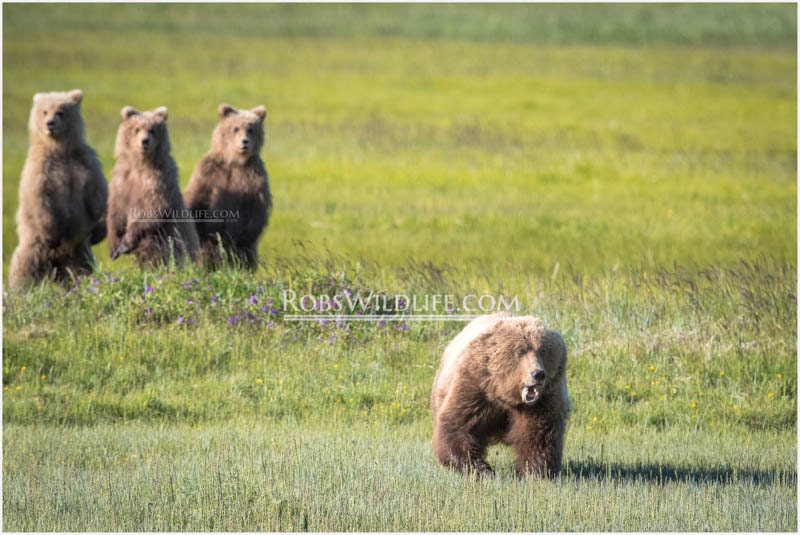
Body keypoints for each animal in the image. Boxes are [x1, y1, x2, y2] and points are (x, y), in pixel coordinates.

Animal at [8, 89, 108, 288]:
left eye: (61, 111)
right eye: (45, 111)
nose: (50, 123)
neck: (60, 150)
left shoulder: (85, 161)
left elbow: (98, 192)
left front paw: (100, 231)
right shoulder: (40, 169)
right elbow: (38, 197)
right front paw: (51, 233)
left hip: (78, 250)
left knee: (81, 270)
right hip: (34, 246)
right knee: (23, 268)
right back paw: (18, 289)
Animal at [107, 106, 199, 267]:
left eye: (152, 130)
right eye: (137, 129)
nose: (145, 141)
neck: (141, 165)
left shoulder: (158, 180)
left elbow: (154, 208)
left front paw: (125, 243)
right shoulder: (122, 180)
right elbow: (115, 210)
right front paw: (113, 248)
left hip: (176, 238)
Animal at [183, 103, 272, 270]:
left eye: (251, 129)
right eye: (236, 128)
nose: (245, 141)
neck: (235, 161)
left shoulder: (254, 176)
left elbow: (257, 207)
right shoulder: (210, 173)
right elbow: (197, 197)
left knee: (244, 256)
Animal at [431, 313, 570, 478]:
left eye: (542, 350)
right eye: (520, 351)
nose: (538, 374)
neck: (504, 394)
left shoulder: (545, 398)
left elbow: (539, 434)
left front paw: (536, 472)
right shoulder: (475, 385)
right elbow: (459, 425)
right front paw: (481, 469)